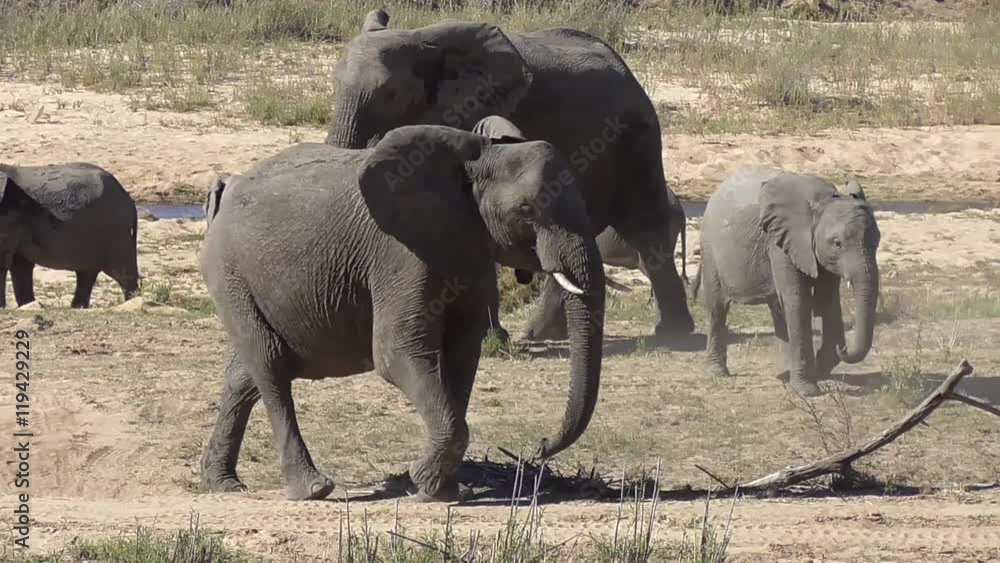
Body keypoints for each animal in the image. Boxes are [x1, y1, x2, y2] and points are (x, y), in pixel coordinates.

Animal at [0, 163, 142, 310]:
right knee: (87, 274)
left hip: (114, 231)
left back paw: (132, 300)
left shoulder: (8, 218)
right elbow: (20, 264)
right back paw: (77, 307)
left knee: (121, 271)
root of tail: (131, 203)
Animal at [194, 122, 600, 502]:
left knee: (244, 376)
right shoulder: (399, 254)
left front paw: (442, 491)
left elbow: (462, 353)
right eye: (527, 210)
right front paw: (425, 483)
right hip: (229, 273)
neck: (481, 155)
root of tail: (225, 187)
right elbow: (397, 352)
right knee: (269, 366)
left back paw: (224, 485)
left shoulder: (469, 250)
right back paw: (312, 489)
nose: (540, 445)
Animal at [324, 8, 692, 344]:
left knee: (643, 223)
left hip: (634, 136)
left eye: (391, 95)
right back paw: (545, 335)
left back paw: (672, 335)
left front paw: (489, 340)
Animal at [692, 166, 880, 396]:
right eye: (837, 243)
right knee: (717, 308)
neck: (824, 201)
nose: (843, 348)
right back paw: (717, 373)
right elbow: (799, 301)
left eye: (877, 241)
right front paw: (808, 391)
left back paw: (785, 372)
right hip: (710, 247)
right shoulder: (781, 242)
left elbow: (826, 300)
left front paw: (819, 370)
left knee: (778, 309)